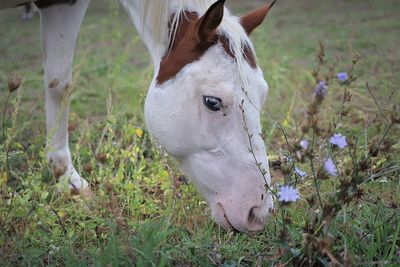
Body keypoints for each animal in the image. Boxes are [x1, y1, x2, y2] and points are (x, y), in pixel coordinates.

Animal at [3, 0, 276, 233]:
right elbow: (59, 84)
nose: (258, 212)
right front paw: (66, 178)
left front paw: (65, 178)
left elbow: (59, 84)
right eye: (212, 102)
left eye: (264, 95)